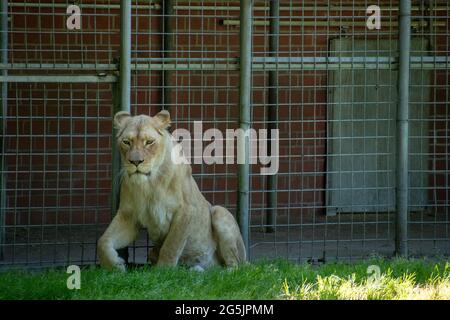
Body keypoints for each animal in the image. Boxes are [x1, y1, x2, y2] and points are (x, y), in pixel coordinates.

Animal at [96, 110, 248, 270]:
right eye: (126, 142)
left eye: (149, 142)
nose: (135, 162)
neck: (150, 184)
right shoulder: (128, 216)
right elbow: (102, 241)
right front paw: (115, 265)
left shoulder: (186, 210)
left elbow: (171, 245)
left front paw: (164, 270)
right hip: (152, 252)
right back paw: (195, 269)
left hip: (220, 212)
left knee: (235, 265)